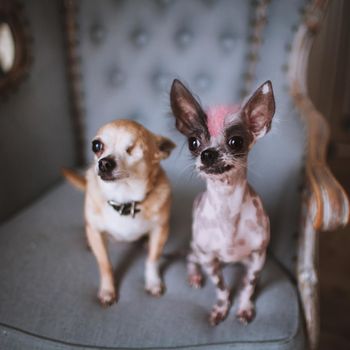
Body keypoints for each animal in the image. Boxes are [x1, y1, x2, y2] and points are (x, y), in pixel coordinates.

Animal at [171, 78, 274, 326]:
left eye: (236, 141)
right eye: (193, 142)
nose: (207, 153)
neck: (227, 207)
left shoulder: (258, 258)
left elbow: (248, 286)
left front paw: (244, 307)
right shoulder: (209, 259)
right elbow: (222, 287)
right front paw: (221, 307)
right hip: (197, 250)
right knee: (190, 258)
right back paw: (194, 275)